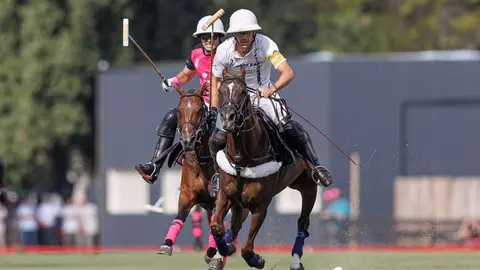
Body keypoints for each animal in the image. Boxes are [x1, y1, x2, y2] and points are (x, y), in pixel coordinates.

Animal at [158, 87, 248, 270]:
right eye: (179, 110)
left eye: (200, 110)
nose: (187, 140)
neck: (204, 159)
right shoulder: (187, 193)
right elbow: (180, 215)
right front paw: (167, 244)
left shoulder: (220, 197)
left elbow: (218, 225)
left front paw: (215, 251)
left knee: (234, 226)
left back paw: (222, 252)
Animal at [210, 69, 318, 270]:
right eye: (220, 91)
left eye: (243, 92)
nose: (228, 119)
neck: (241, 159)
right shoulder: (225, 194)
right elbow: (216, 227)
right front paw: (223, 251)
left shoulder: (261, 205)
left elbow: (247, 248)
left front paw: (257, 260)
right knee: (235, 225)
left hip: (309, 186)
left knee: (303, 223)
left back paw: (295, 261)